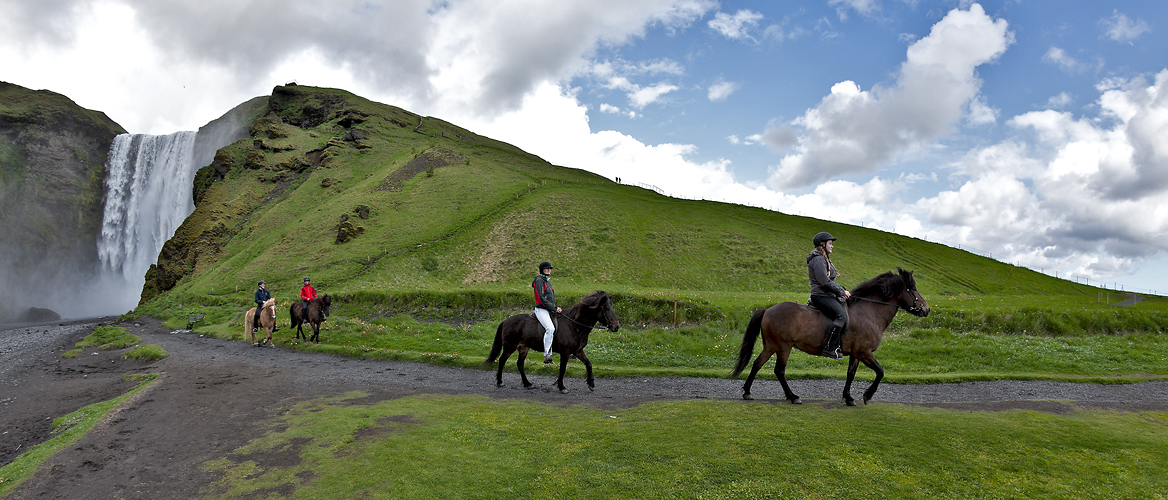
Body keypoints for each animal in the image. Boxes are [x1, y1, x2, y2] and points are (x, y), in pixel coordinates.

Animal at [483, 290, 621, 392]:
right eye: (606, 308)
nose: (616, 326)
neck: (575, 325)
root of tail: (506, 320)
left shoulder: (578, 351)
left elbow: (589, 364)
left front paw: (591, 383)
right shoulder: (565, 352)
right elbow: (563, 369)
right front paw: (561, 386)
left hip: (523, 348)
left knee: (520, 364)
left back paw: (527, 384)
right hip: (510, 346)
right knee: (502, 360)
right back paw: (500, 382)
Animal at [728, 267, 929, 404]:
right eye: (913, 289)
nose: (926, 309)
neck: (869, 311)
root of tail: (768, 309)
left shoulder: (856, 354)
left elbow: (851, 374)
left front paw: (848, 398)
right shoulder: (865, 352)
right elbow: (880, 372)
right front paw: (867, 395)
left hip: (771, 346)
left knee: (757, 364)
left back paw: (747, 392)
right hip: (783, 347)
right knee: (779, 371)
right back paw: (793, 397)